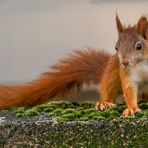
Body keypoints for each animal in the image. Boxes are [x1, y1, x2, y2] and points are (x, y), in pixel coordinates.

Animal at [0, 15, 148, 117]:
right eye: (116, 47)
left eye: (139, 46)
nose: (124, 63)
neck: (141, 63)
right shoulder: (127, 74)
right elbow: (129, 88)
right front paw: (132, 109)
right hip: (112, 71)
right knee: (108, 89)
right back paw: (105, 102)